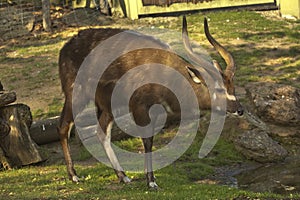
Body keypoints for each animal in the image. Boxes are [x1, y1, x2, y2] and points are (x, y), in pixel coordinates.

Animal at [58, 16, 244, 189]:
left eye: (233, 87)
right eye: (219, 89)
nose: (239, 110)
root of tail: (65, 47)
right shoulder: (140, 108)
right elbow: (147, 141)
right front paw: (151, 182)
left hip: (109, 107)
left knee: (101, 131)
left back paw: (123, 176)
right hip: (76, 95)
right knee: (64, 126)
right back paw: (74, 175)